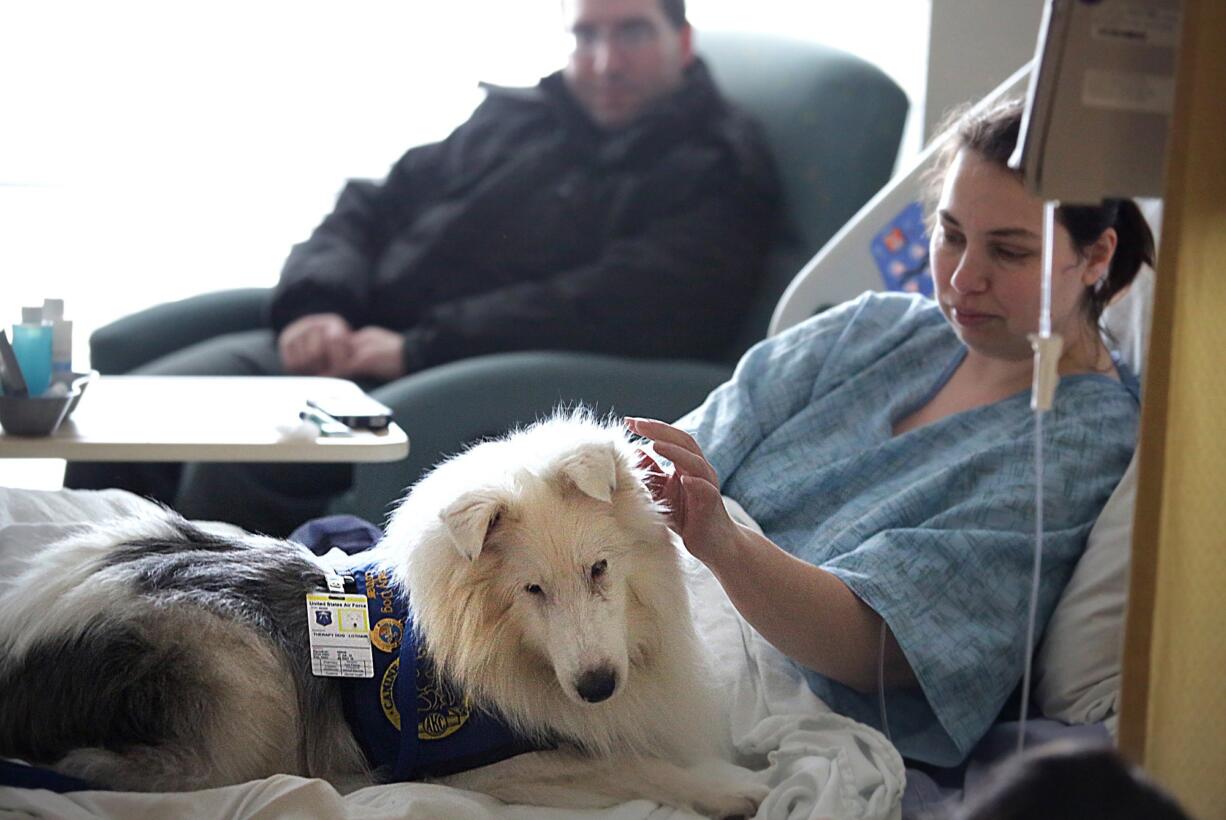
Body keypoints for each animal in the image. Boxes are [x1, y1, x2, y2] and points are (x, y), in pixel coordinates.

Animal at [0, 419, 765, 813]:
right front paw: (731, 789)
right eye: (532, 591)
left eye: (600, 569)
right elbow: (630, 768)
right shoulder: (480, 772)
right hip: (242, 675)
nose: (598, 688)